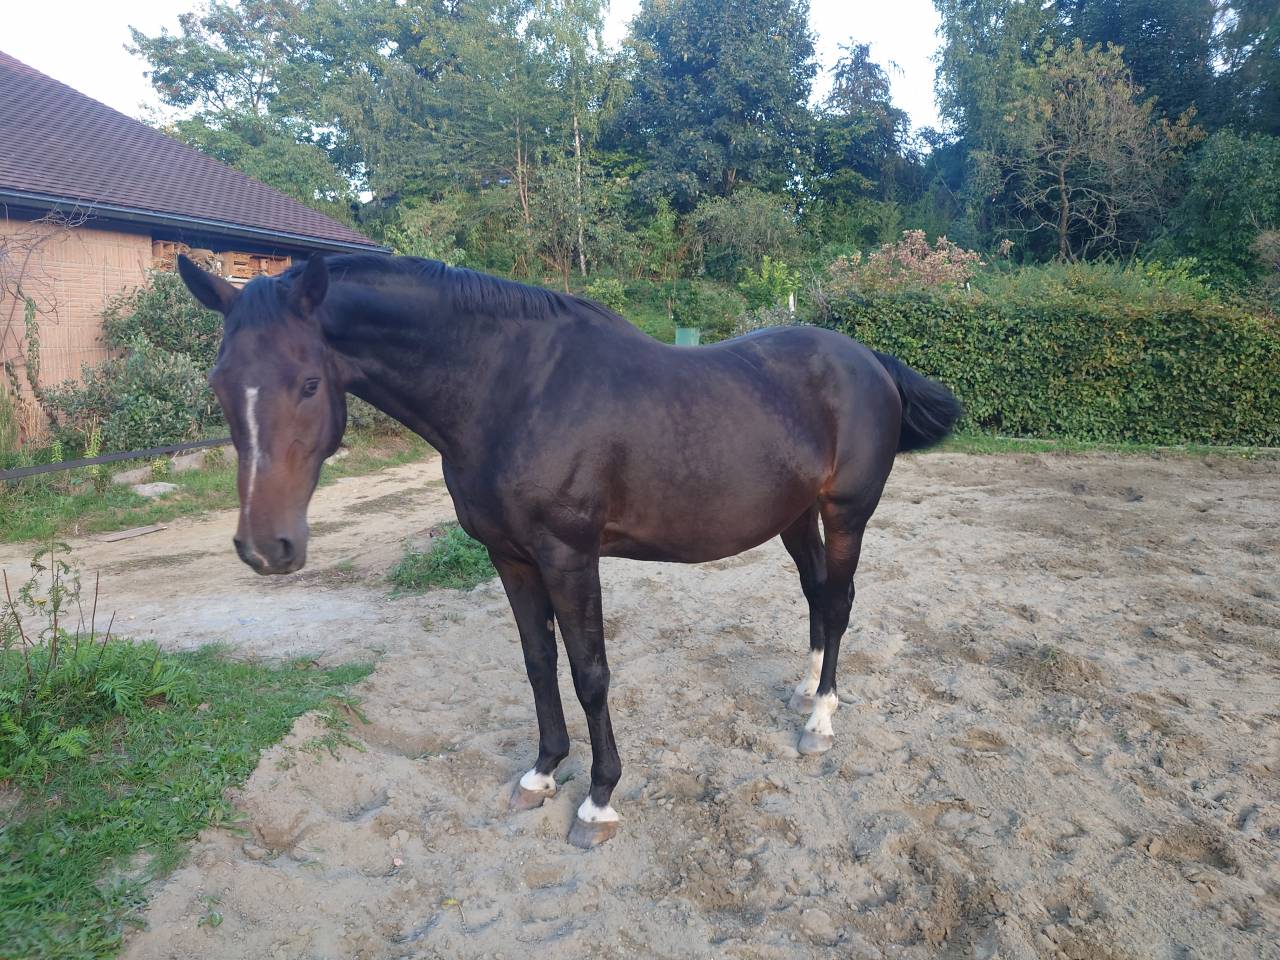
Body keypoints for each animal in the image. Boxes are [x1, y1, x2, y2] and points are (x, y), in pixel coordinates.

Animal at [177, 251, 961, 848]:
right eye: (220, 382)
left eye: (309, 382)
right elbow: (537, 664)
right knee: (816, 593)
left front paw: (599, 798)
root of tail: (867, 359)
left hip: (846, 513)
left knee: (841, 598)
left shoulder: (568, 556)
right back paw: (805, 690)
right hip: (794, 515)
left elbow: (590, 674)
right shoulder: (511, 557)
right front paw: (543, 771)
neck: (509, 389)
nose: (266, 546)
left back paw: (821, 718)